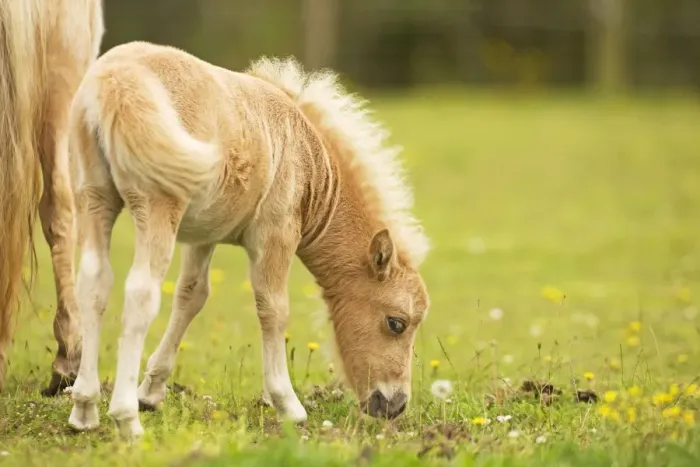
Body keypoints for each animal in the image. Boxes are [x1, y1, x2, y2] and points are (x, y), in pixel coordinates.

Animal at [67, 40, 431, 439]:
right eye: (396, 323)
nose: (395, 405)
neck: (306, 156)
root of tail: (116, 80)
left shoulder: (204, 235)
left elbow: (190, 296)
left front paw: (150, 391)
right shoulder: (275, 234)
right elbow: (274, 308)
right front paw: (288, 405)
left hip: (94, 198)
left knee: (94, 283)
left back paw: (84, 408)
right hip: (157, 206)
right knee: (140, 294)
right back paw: (125, 419)